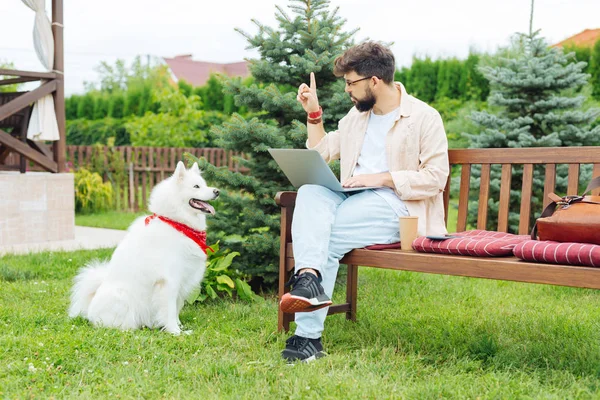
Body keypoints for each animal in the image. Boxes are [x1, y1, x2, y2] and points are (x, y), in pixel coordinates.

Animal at [69, 162, 220, 334]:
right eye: (196, 186)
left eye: (205, 184)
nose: (217, 191)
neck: (177, 224)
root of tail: (90, 309)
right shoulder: (169, 281)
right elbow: (169, 310)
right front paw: (175, 332)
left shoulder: (182, 279)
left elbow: (176, 308)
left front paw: (179, 326)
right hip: (124, 297)